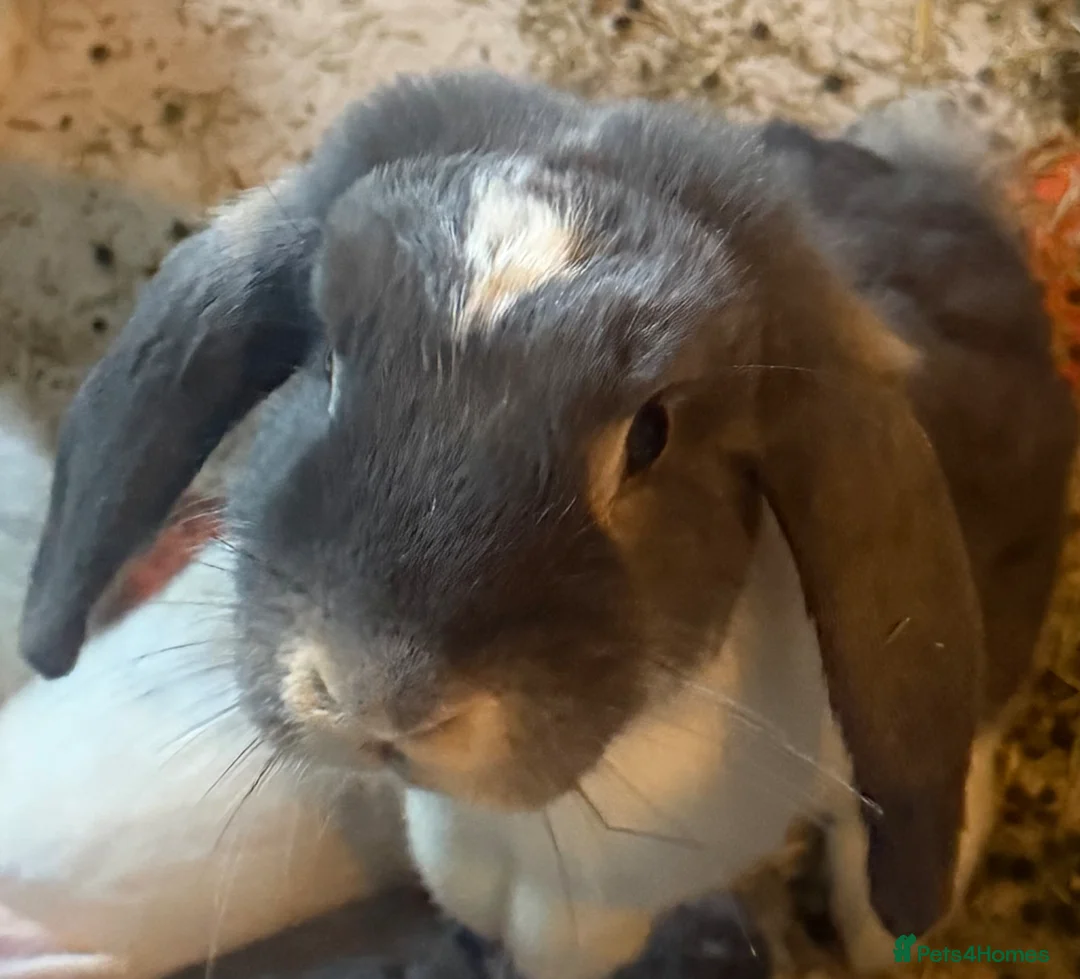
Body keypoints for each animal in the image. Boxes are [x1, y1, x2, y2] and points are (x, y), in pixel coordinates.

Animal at [15, 71, 1076, 979]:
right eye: (329, 364)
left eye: (650, 435)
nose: (378, 694)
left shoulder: (601, 898)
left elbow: (561, 939)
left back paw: (879, 927)